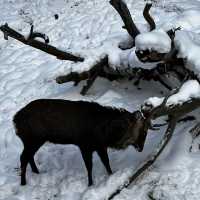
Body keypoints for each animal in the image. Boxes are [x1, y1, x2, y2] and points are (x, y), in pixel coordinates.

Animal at [13, 99, 148, 186]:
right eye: (143, 132)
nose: (141, 148)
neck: (103, 132)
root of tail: (15, 120)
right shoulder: (84, 145)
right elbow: (89, 166)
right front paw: (90, 184)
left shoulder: (100, 146)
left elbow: (106, 162)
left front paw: (111, 175)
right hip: (33, 138)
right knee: (23, 157)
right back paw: (23, 182)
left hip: (32, 141)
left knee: (28, 156)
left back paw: (36, 172)